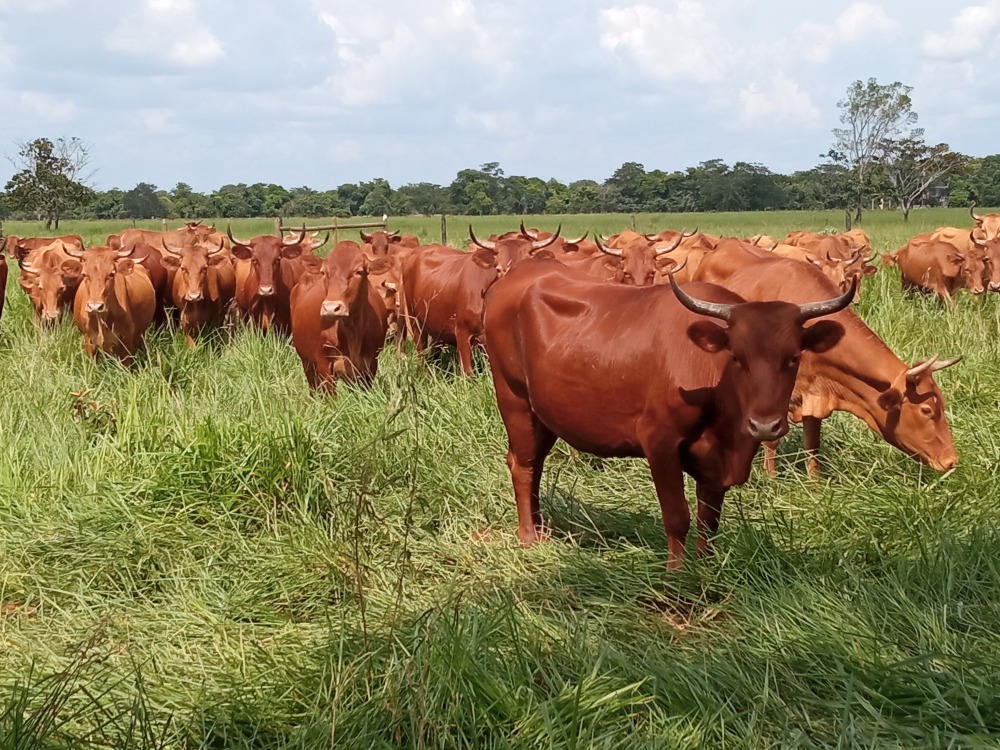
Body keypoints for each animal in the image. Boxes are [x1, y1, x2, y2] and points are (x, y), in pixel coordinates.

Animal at [290, 242, 394, 396]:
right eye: (323, 272)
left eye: (359, 272)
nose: (331, 307)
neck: (352, 333)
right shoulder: (324, 364)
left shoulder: (371, 364)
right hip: (307, 362)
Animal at [484, 258, 852, 568]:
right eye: (736, 357)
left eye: (793, 357)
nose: (764, 425)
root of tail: (523, 271)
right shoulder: (659, 441)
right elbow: (678, 517)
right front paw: (676, 576)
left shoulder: (717, 460)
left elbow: (709, 517)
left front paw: (705, 568)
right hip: (514, 398)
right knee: (522, 465)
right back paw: (528, 537)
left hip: (543, 414)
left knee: (535, 464)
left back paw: (541, 528)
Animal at [688, 242, 960, 476]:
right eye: (926, 410)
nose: (951, 461)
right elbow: (772, 440)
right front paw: (771, 481)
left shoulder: (814, 395)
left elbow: (812, 445)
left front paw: (815, 486)